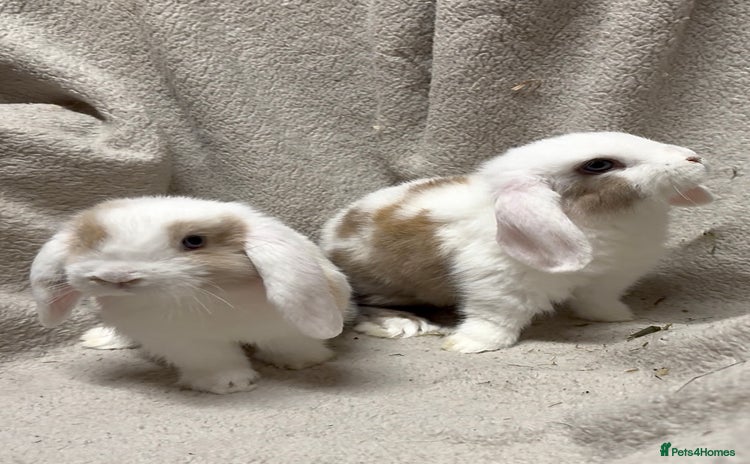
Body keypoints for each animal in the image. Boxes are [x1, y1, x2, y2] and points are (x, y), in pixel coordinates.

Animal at [30, 196, 353, 394]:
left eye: (194, 241)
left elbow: (291, 345)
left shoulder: (284, 329)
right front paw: (229, 385)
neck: (212, 297)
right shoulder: (185, 341)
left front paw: (303, 363)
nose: (117, 277)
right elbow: (214, 360)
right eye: (89, 242)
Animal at [320, 131, 714, 354]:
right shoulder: (497, 288)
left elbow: (598, 302)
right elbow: (493, 319)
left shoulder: (605, 281)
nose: (694, 158)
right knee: (361, 305)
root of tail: (330, 235)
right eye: (599, 165)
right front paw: (469, 346)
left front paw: (617, 317)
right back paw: (402, 324)